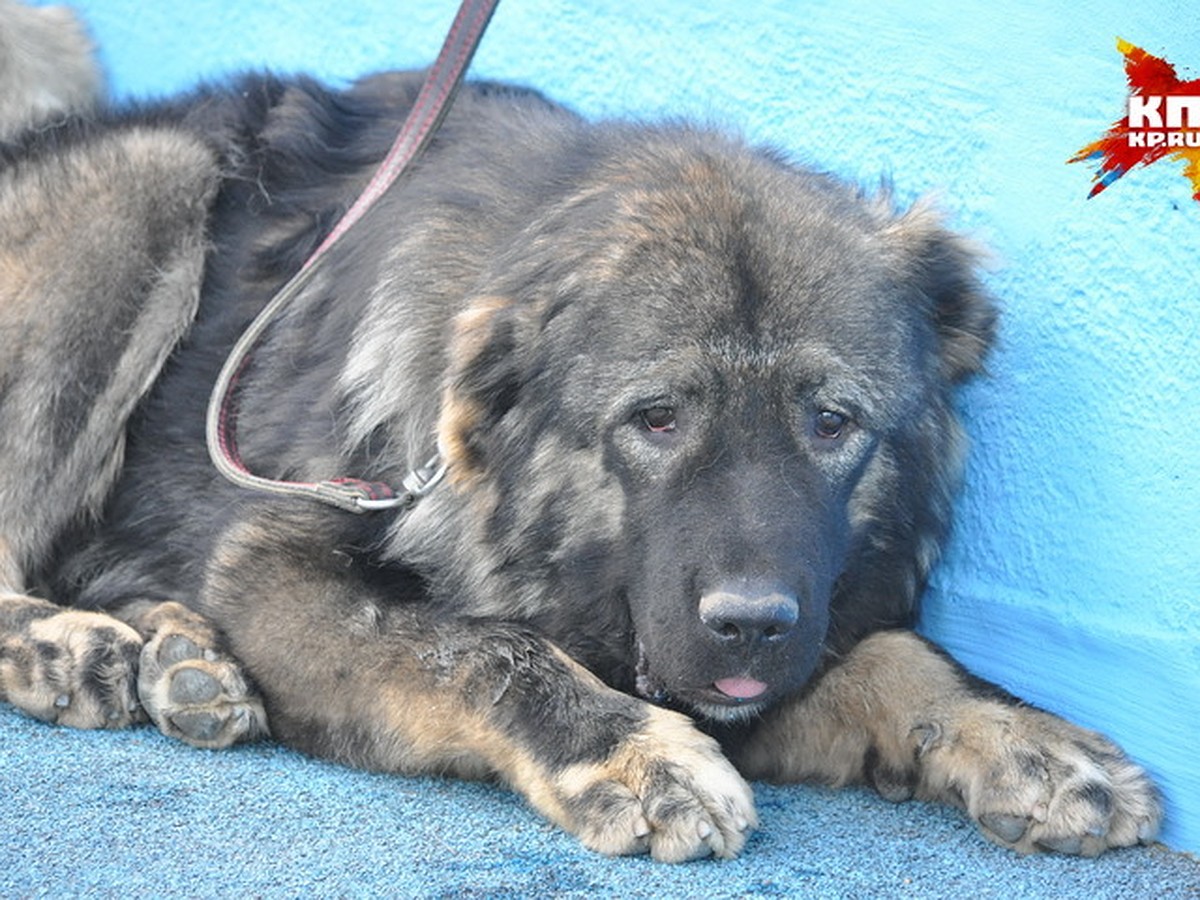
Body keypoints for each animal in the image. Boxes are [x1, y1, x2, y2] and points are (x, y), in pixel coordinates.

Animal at [2, 5, 1161, 868]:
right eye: (656, 419)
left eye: (833, 424)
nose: (750, 624)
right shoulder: (271, 566)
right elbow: (490, 649)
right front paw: (636, 755)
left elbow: (898, 652)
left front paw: (1029, 739)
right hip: (145, 183)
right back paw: (61, 644)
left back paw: (181, 657)